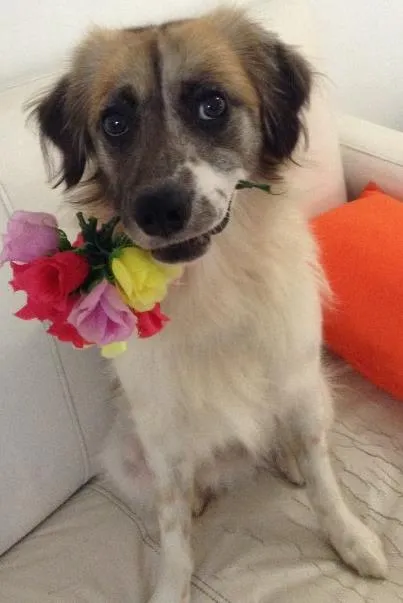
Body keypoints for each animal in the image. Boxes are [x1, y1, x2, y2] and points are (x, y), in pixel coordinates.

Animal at [33, 7, 387, 602]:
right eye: (115, 123)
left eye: (212, 104)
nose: (159, 209)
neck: (212, 284)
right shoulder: (161, 429)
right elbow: (173, 529)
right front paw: (171, 587)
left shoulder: (297, 384)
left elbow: (323, 482)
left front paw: (351, 539)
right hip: (125, 451)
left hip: (316, 392)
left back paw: (287, 460)